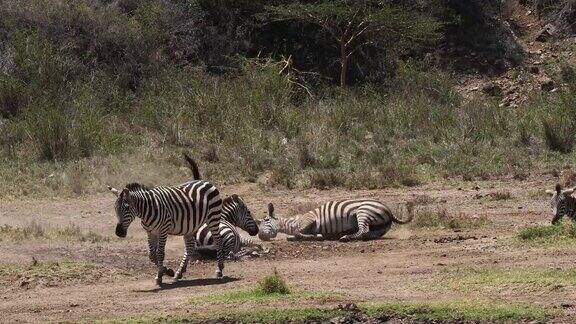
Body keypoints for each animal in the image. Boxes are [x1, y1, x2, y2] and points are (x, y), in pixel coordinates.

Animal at [258, 199, 414, 242]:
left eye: (265, 220)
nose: (260, 236)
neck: (292, 221)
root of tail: (388, 210)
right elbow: (294, 235)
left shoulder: (310, 220)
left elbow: (298, 232)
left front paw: (317, 235)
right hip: (379, 226)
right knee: (368, 233)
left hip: (362, 213)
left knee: (363, 230)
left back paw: (345, 237)